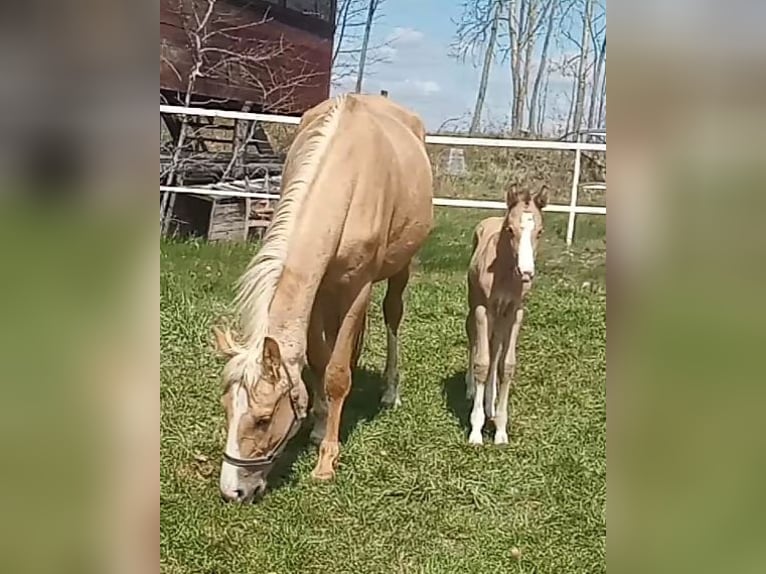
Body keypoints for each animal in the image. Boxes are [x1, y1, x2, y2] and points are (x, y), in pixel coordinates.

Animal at [211, 93, 433, 503]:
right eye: (226, 409)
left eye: (263, 419)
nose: (232, 491)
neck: (347, 177)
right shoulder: (316, 292)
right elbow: (317, 359)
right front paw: (317, 425)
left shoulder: (357, 288)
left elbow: (337, 375)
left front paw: (327, 460)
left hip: (400, 268)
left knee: (392, 316)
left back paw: (389, 391)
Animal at [465, 184, 547, 445]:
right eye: (510, 229)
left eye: (539, 231)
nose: (526, 272)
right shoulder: (483, 310)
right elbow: (482, 362)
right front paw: (476, 432)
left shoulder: (515, 312)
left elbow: (506, 365)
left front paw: (500, 430)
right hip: (475, 307)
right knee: (475, 341)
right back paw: (471, 389)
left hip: (501, 318)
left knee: (496, 349)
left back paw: (490, 404)